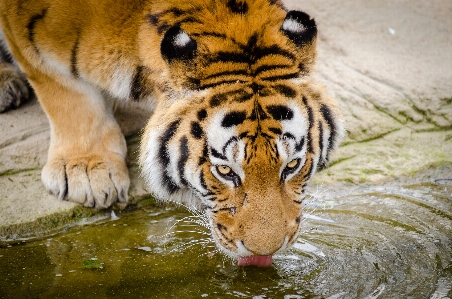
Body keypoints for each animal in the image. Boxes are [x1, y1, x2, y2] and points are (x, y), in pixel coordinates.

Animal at [0, 0, 344, 268]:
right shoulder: (31, 40)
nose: (264, 252)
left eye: (292, 165)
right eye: (225, 171)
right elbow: (65, 92)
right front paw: (85, 171)